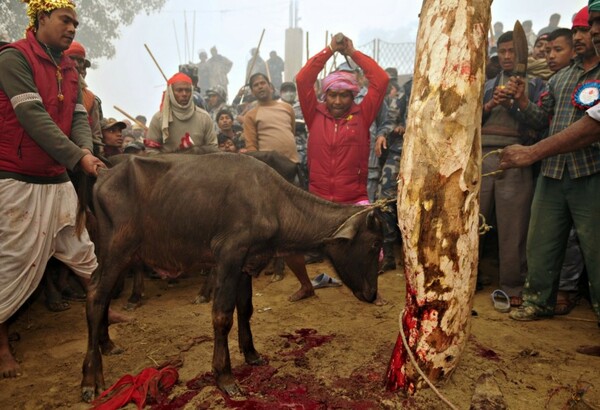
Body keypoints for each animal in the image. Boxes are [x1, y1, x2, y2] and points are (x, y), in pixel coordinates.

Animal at [79, 152, 382, 402]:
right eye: (373, 246)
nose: (372, 294)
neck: (273, 202)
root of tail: (105, 174)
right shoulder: (228, 256)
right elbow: (223, 316)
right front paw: (224, 376)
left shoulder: (247, 264)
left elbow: (245, 309)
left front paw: (251, 354)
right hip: (117, 249)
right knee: (95, 294)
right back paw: (90, 379)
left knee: (102, 295)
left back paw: (107, 345)